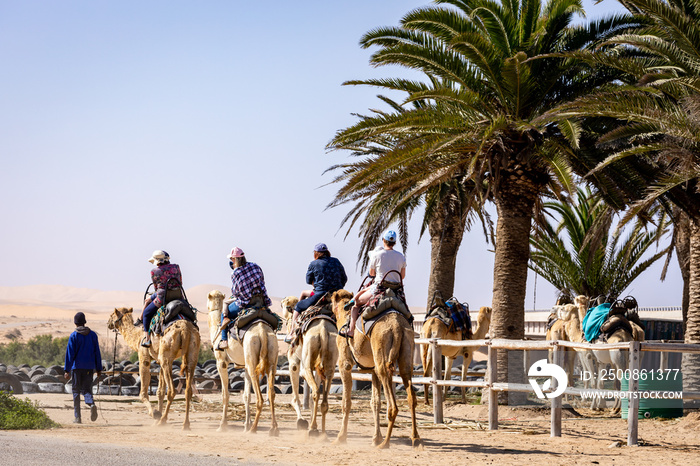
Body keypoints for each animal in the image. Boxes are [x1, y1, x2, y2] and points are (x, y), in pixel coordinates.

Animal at [206, 290, 280, 436]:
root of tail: (262, 332)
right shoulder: (244, 366)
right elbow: (246, 395)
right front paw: (246, 424)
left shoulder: (221, 362)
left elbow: (225, 394)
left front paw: (222, 425)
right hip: (271, 356)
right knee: (271, 393)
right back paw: (273, 429)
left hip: (252, 357)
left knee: (260, 397)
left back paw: (254, 429)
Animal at [282, 294, 342, 436]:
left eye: (285, 305)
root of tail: (323, 329)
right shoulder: (318, 368)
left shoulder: (294, 360)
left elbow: (296, 397)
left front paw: (301, 421)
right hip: (330, 362)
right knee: (323, 397)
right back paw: (321, 431)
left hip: (307, 360)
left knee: (314, 390)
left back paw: (313, 429)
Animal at [330, 290, 422, 450]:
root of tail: (397, 326)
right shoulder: (372, 370)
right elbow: (375, 402)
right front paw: (375, 438)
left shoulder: (344, 364)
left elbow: (346, 402)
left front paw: (340, 437)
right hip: (406, 347)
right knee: (410, 392)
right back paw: (415, 438)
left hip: (382, 347)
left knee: (392, 404)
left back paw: (386, 443)